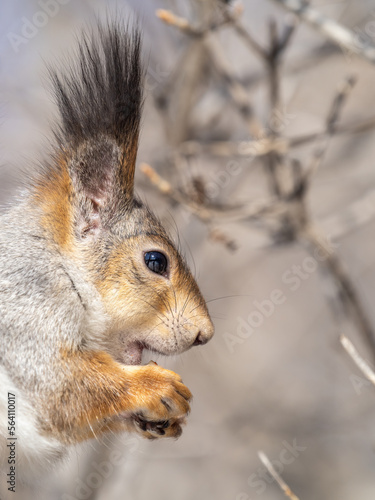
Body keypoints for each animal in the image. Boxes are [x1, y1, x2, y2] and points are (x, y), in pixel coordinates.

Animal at [0, 21, 214, 482]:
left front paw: (154, 418)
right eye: (156, 261)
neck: (61, 265)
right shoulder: (23, 311)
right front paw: (155, 387)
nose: (204, 334)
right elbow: (58, 384)